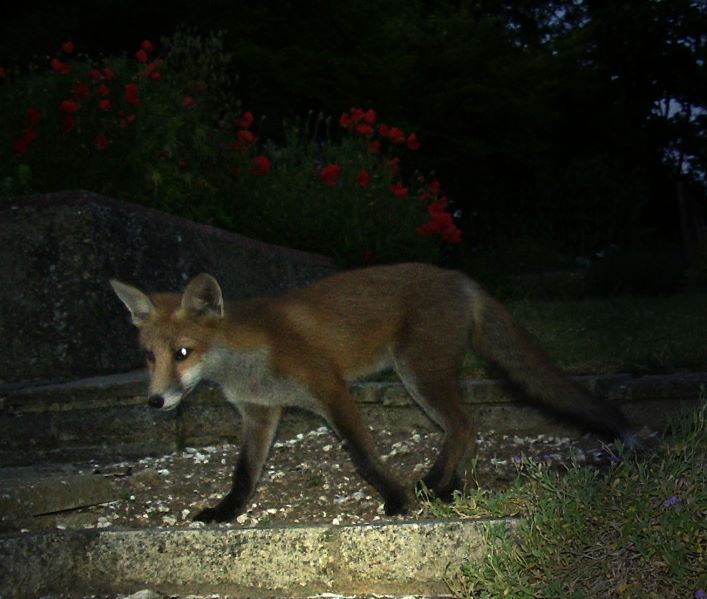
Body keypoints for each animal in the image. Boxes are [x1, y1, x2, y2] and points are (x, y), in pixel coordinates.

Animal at [112, 264, 636, 524]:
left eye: (183, 352)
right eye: (149, 357)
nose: (155, 402)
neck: (248, 365)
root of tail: (462, 278)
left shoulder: (331, 389)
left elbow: (363, 458)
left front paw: (397, 499)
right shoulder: (260, 413)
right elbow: (244, 475)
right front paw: (226, 512)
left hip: (417, 373)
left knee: (465, 426)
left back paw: (433, 485)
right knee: (467, 430)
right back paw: (452, 487)